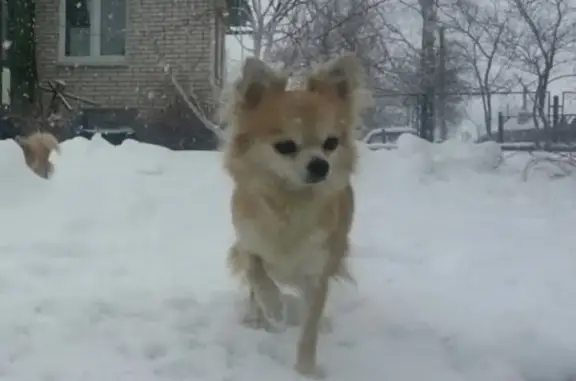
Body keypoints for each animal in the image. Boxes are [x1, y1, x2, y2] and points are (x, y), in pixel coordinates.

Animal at [220, 54, 368, 378]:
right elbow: (257, 274)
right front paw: (273, 307)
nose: (320, 165)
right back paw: (257, 315)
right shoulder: (247, 241)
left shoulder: (318, 271)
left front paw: (305, 369)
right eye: (285, 146)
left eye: (331, 143)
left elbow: (309, 327)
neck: (290, 201)